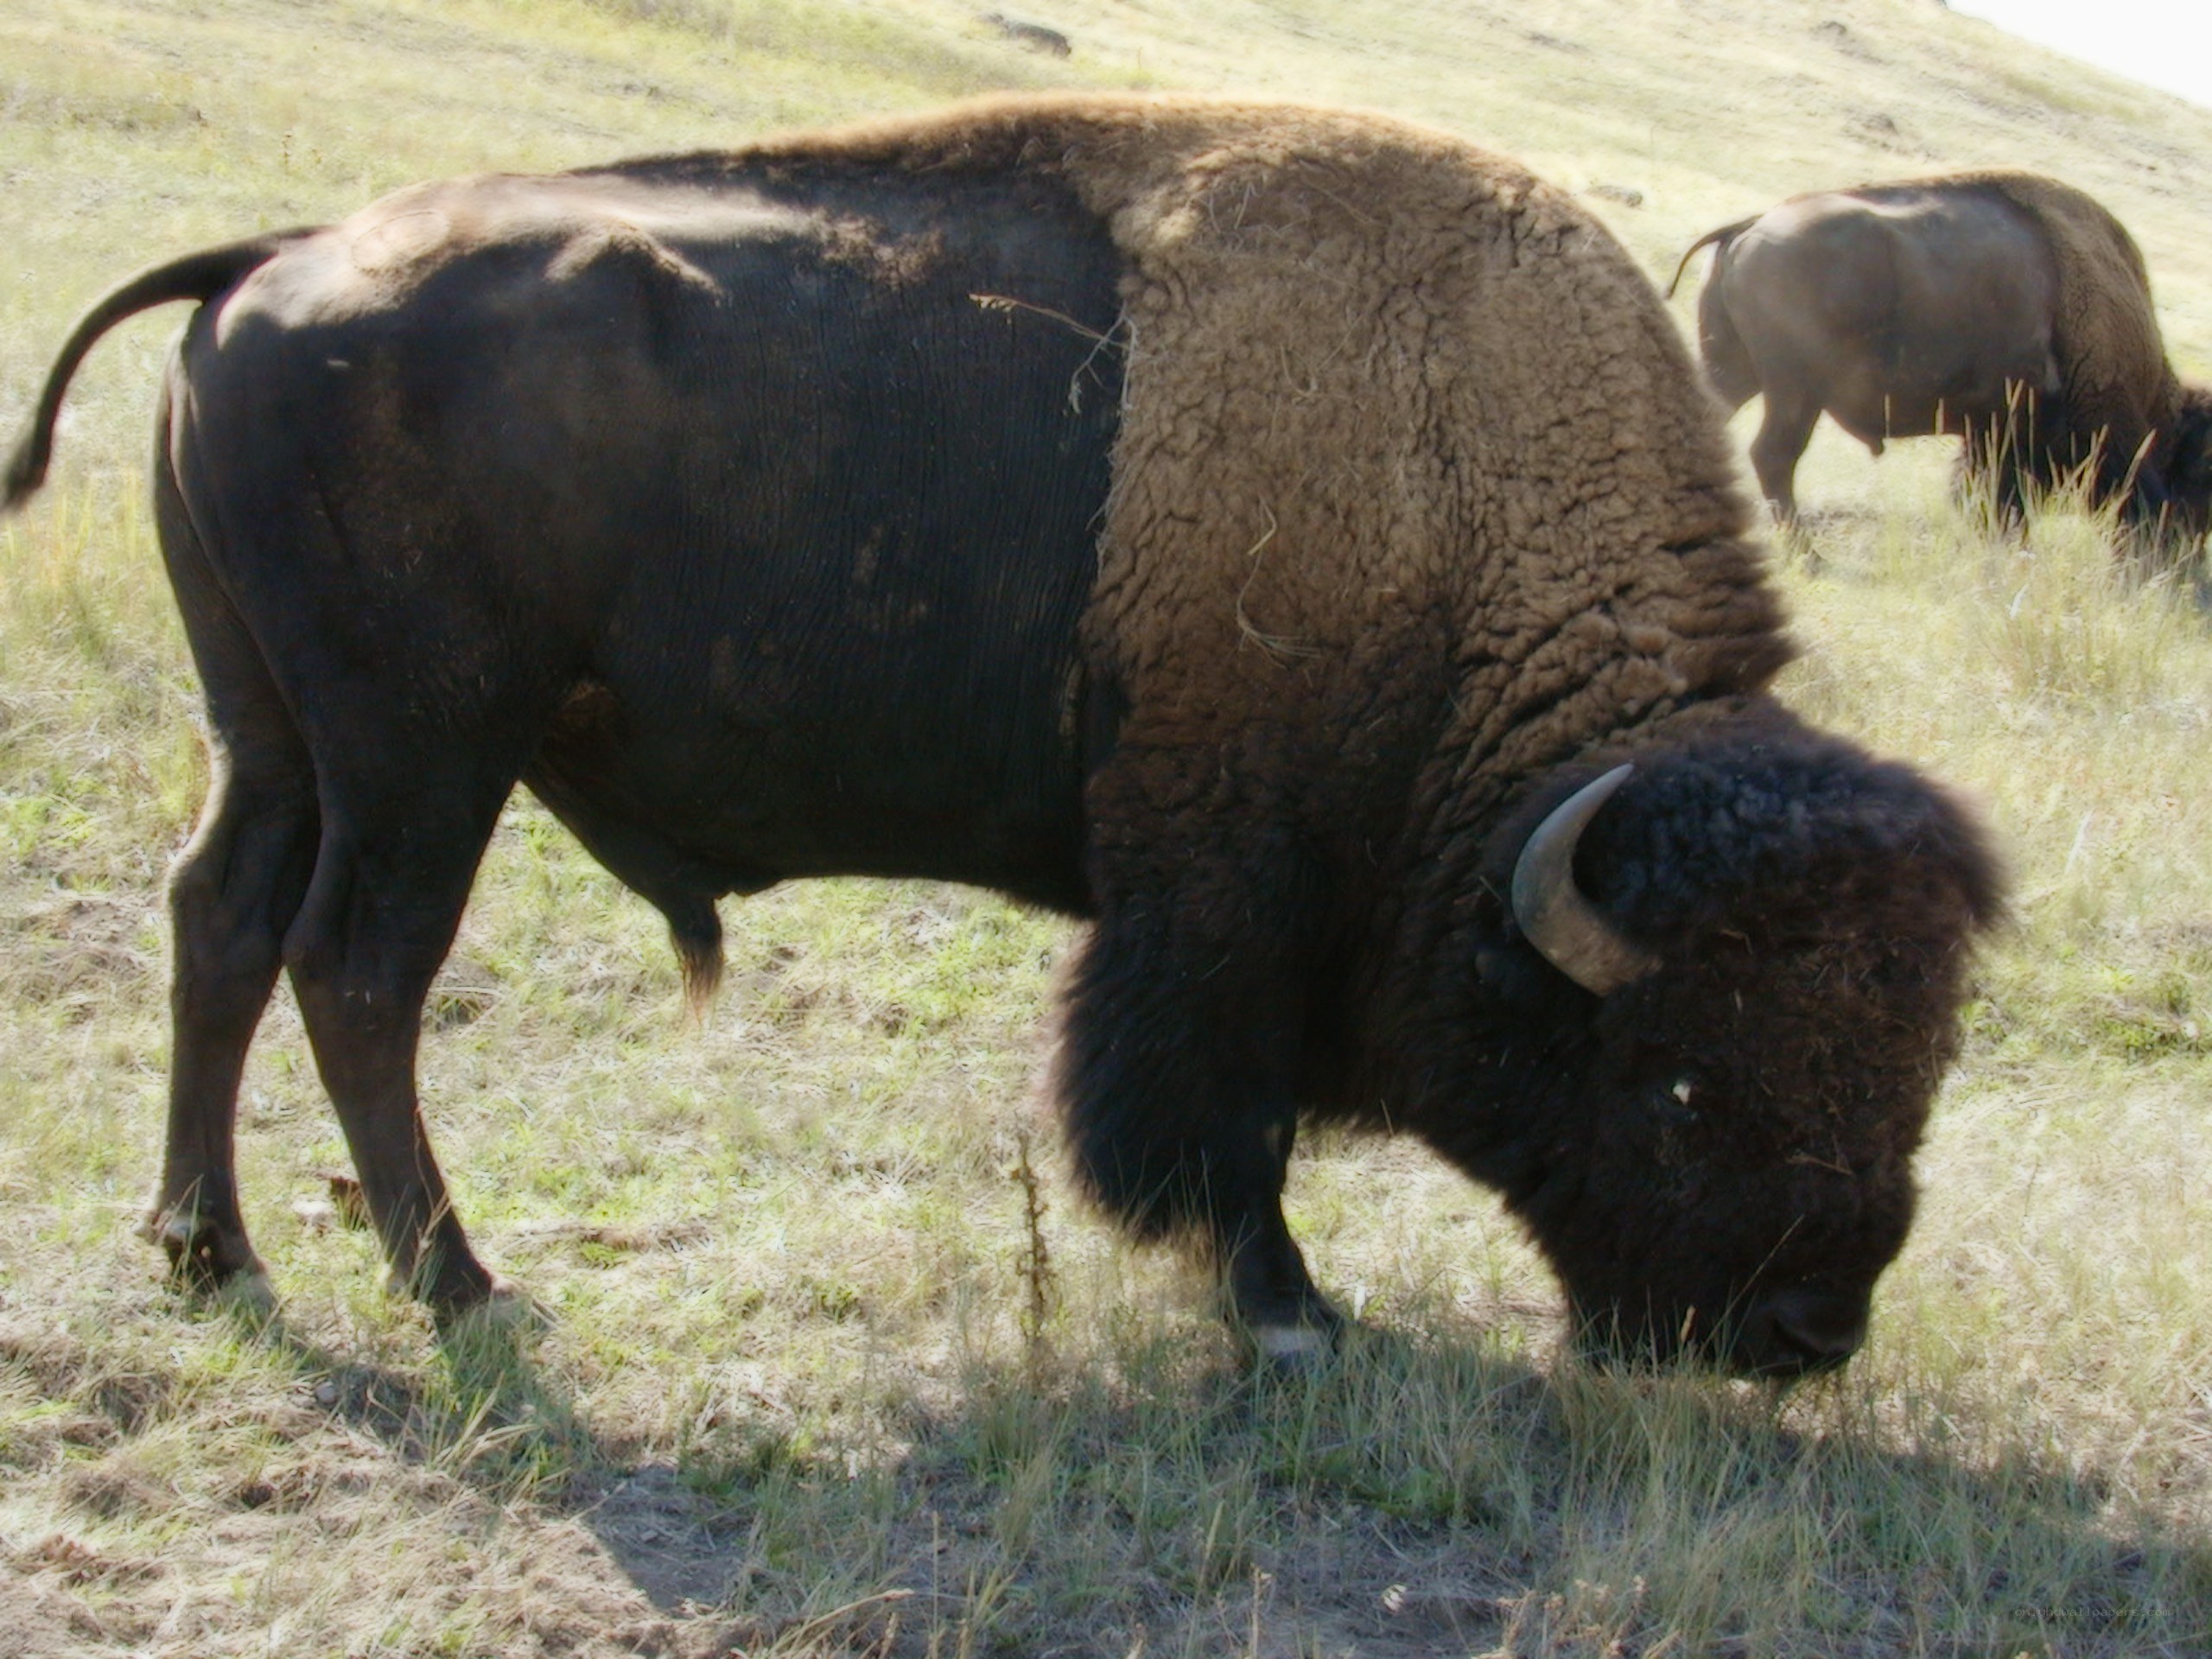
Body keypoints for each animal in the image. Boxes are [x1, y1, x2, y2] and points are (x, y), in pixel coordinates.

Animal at [4, 95, 1998, 1375]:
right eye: (1682, 1079)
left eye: (1916, 1065)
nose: (1803, 1336)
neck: (1454, 516)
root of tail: (274, 263)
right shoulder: (1216, 907)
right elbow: (1215, 1123)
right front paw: (1290, 1311)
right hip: (423, 755)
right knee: (358, 970)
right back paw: (463, 1287)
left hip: (271, 732)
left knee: (218, 924)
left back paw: (208, 1254)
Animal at [1669, 171, 2212, 540]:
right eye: (2204, 467)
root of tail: (1749, 226)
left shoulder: (1990, 435)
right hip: (1796, 392)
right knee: (1774, 456)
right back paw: (1807, 553)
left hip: (1736, 371)